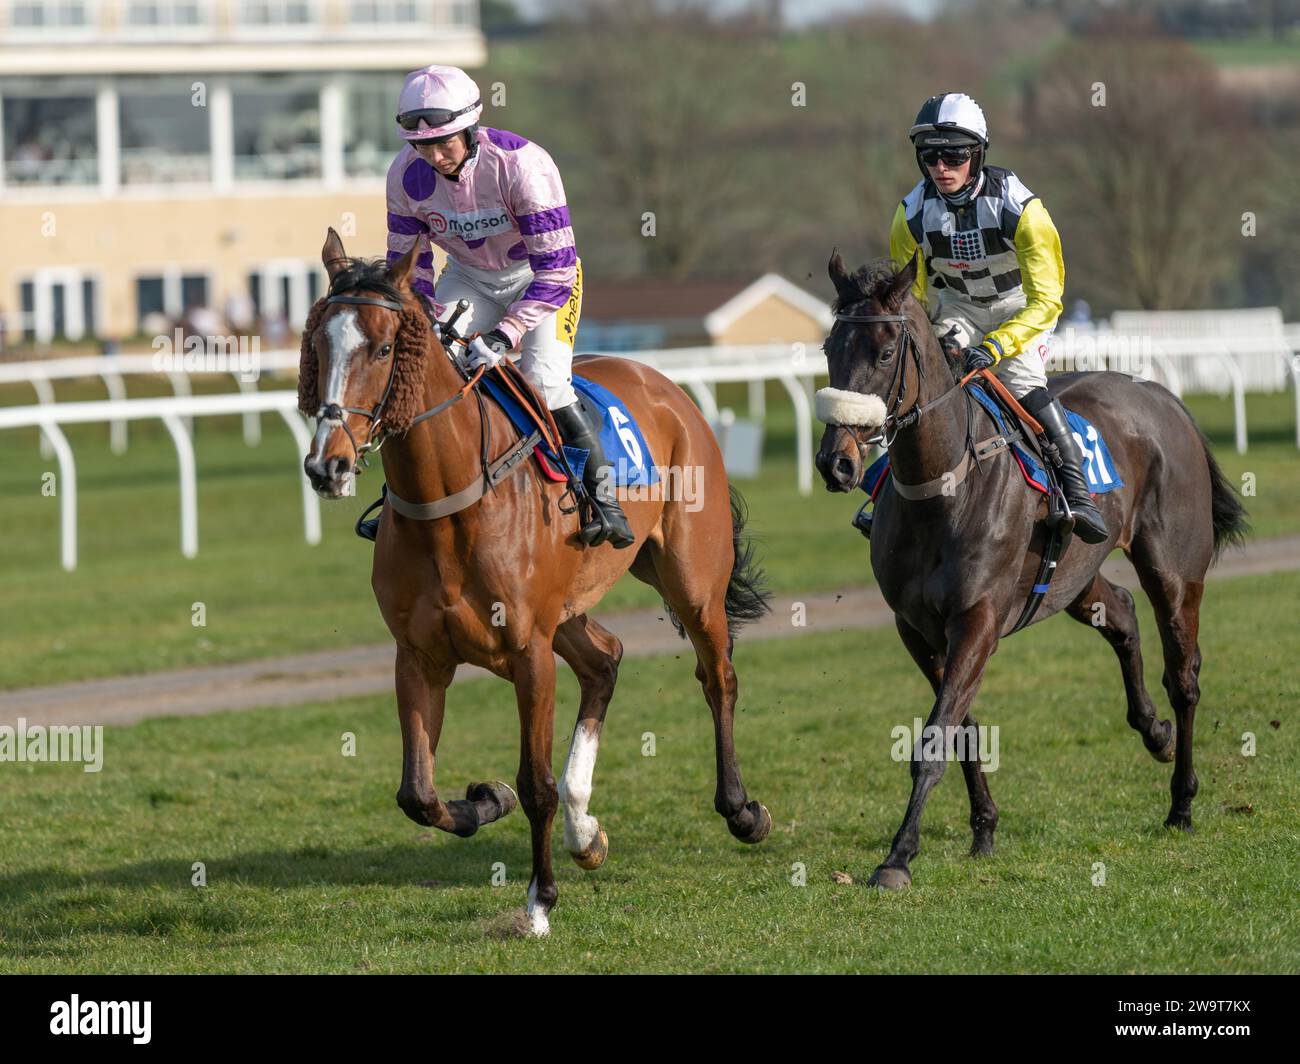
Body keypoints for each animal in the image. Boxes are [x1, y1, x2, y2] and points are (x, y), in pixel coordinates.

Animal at [296, 230, 769, 926]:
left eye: (383, 348)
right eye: (318, 346)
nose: (325, 465)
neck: (449, 503)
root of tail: (666, 387)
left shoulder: (528, 651)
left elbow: (535, 782)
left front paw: (539, 899)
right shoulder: (419, 656)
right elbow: (418, 794)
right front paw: (486, 801)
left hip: (693, 583)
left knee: (718, 679)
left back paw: (740, 809)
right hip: (567, 610)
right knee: (605, 661)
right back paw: (585, 831)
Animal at [811, 251, 1248, 889]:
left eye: (885, 354)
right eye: (829, 348)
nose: (835, 462)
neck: (944, 488)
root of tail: (1163, 396)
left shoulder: (977, 619)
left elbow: (937, 736)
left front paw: (897, 857)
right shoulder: (917, 629)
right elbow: (961, 728)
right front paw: (983, 829)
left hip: (1173, 570)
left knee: (1185, 677)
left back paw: (1182, 801)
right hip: (1072, 577)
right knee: (1120, 613)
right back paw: (1155, 733)